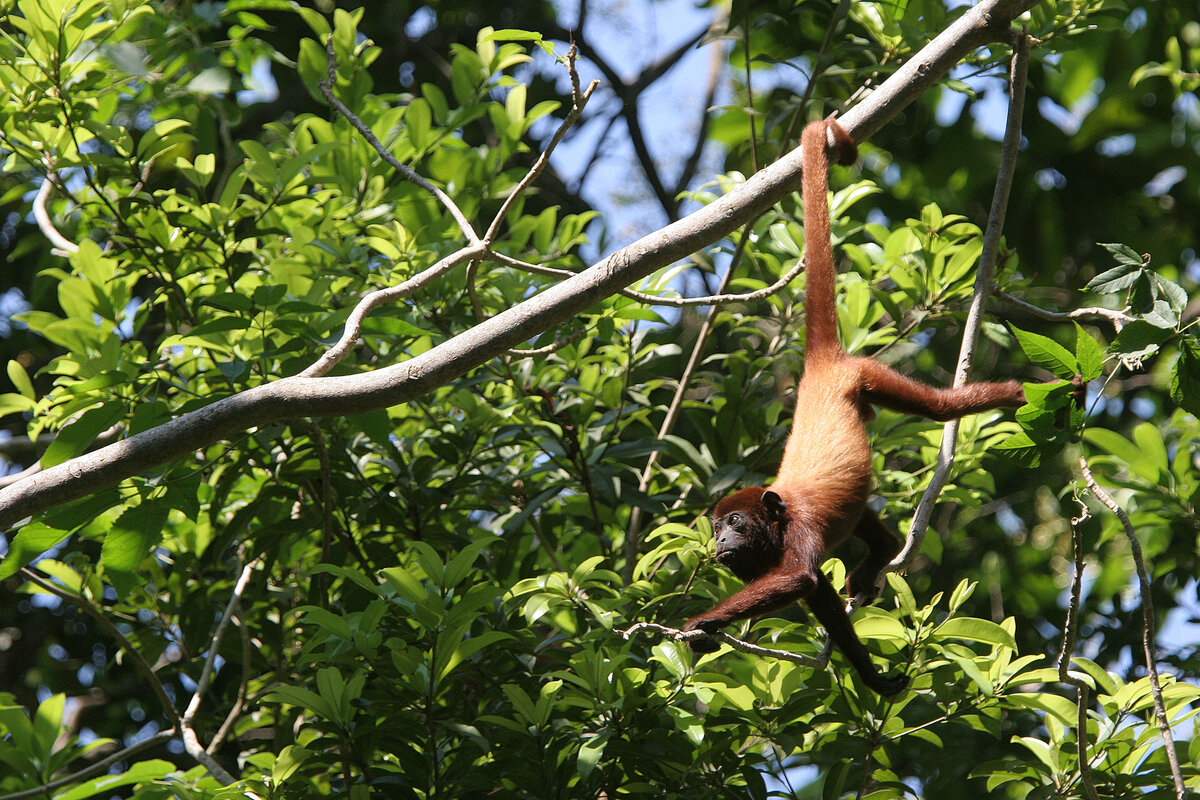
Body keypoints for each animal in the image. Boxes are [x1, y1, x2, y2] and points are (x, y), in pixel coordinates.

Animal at [681, 117, 1027, 695]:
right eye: (717, 526)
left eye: (736, 522)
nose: (720, 540)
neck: (777, 518)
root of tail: (822, 364)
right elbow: (817, 591)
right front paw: (872, 677)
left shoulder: (797, 532)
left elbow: (799, 577)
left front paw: (700, 622)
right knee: (862, 510)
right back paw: (883, 551)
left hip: (867, 373)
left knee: (939, 408)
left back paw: (1021, 393)